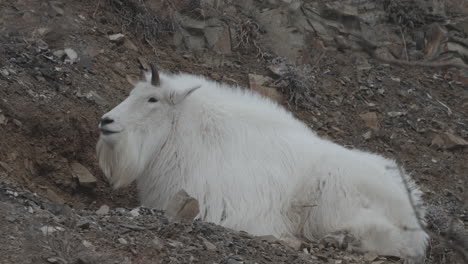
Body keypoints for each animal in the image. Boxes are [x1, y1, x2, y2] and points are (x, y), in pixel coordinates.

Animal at [97, 64, 430, 262]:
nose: (106, 121)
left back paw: (343, 239)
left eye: (152, 99)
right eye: (133, 93)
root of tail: (413, 206)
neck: (186, 133)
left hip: (335, 194)